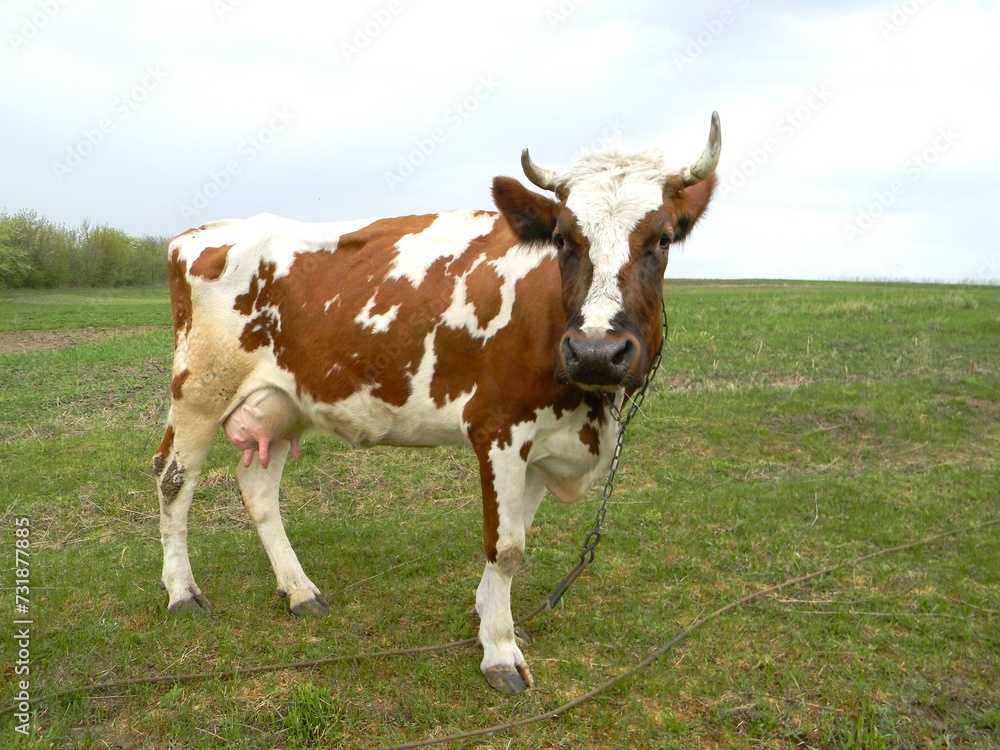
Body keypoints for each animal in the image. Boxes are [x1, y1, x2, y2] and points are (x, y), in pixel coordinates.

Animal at [154, 111, 720, 692]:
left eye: (664, 238)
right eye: (563, 238)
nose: (595, 353)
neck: (589, 408)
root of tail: (201, 233)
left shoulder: (543, 442)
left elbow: (518, 533)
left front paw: (489, 615)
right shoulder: (499, 428)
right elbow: (506, 546)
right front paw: (500, 651)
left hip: (284, 400)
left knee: (258, 487)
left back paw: (299, 589)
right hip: (200, 390)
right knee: (173, 479)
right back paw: (182, 592)